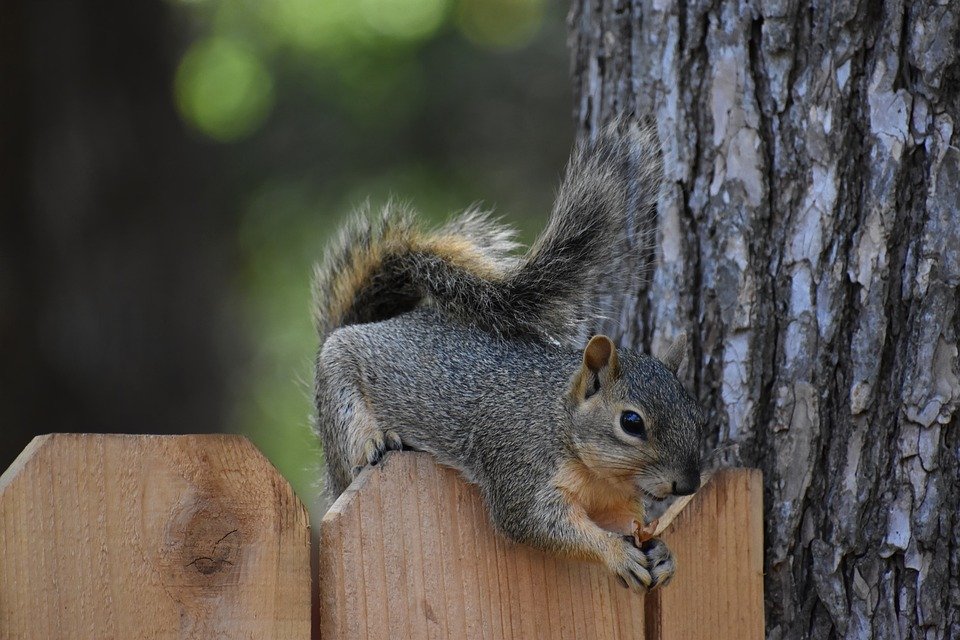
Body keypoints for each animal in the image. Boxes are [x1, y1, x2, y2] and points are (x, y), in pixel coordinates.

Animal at [314, 119, 704, 592]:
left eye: (696, 413)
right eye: (631, 423)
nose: (688, 485)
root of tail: (366, 326)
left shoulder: (613, 500)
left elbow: (622, 520)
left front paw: (663, 554)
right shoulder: (520, 463)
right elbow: (534, 522)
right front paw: (615, 554)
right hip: (339, 389)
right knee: (350, 449)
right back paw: (377, 442)